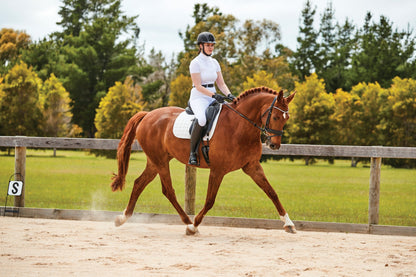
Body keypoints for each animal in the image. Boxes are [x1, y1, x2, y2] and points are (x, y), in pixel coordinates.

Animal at [110, 85, 296, 233]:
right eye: (275, 117)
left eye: (286, 118)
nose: (274, 145)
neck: (239, 127)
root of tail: (148, 114)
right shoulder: (218, 170)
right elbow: (210, 200)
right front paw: (194, 226)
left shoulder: (252, 166)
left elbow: (272, 192)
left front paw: (288, 224)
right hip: (160, 161)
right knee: (168, 191)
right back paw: (187, 222)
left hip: (155, 161)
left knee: (139, 183)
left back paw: (122, 218)